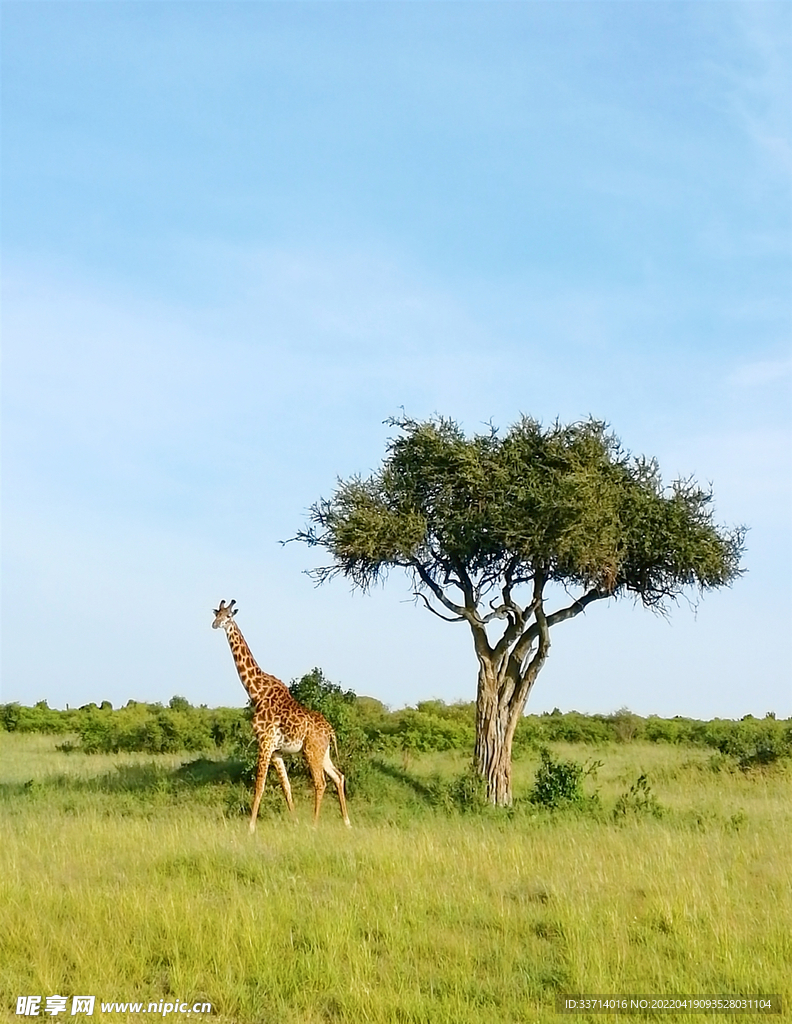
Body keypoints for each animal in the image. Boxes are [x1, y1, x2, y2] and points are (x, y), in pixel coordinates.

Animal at [210, 602, 348, 827]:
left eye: (229, 616)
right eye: (217, 613)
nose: (215, 624)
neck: (256, 691)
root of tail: (330, 730)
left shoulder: (265, 743)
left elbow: (259, 785)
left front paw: (251, 827)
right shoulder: (276, 751)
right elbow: (286, 787)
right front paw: (295, 822)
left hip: (311, 751)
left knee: (321, 783)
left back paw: (314, 824)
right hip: (323, 752)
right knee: (338, 776)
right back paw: (346, 822)